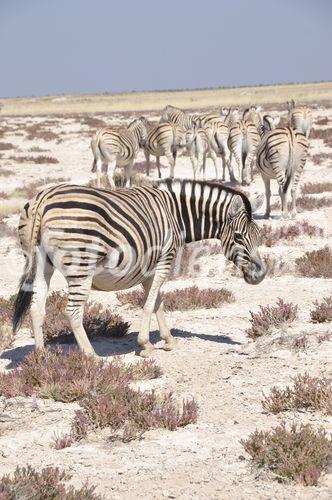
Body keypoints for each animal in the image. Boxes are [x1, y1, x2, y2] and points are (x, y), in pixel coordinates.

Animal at [13, 181, 264, 360]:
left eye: (259, 235)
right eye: (239, 237)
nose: (260, 275)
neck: (175, 214)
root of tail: (43, 199)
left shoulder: (149, 268)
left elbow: (158, 303)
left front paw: (167, 340)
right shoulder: (165, 259)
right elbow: (149, 305)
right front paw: (145, 345)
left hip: (42, 264)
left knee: (36, 308)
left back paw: (41, 357)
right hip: (81, 266)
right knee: (72, 311)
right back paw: (91, 356)